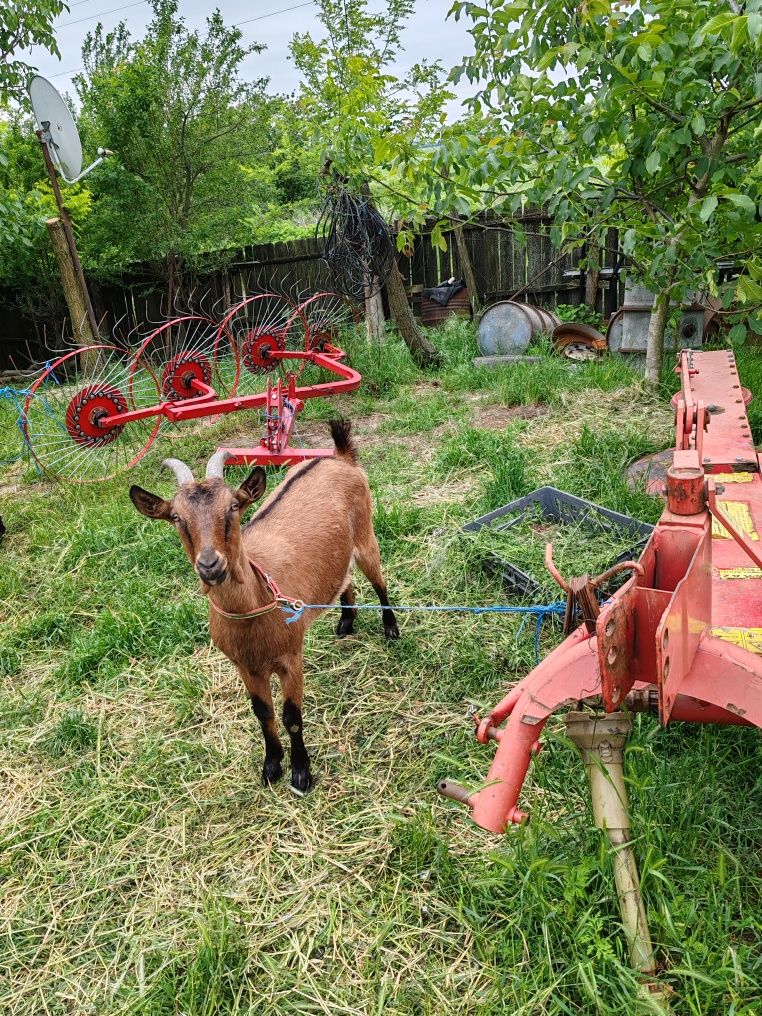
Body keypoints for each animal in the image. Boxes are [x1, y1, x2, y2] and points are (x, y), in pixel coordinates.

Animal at [130, 416, 400, 788]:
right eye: (176, 518)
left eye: (233, 506)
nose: (210, 565)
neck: (254, 608)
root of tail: (337, 458)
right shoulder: (245, 667)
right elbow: (263, 713)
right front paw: (271, 765)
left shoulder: (291, 659)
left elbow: (292, 717)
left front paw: (301, 773)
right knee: (345, 578)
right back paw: (345, 622)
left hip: (365, 535)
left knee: (379, 581)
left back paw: (391, 629)